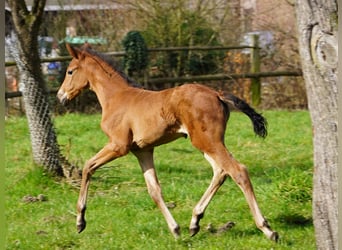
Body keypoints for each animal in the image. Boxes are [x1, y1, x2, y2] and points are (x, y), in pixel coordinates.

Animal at [56, 44, 278, 241]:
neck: (116, 97)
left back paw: (267, 229)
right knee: (221, 171)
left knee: (238, 171)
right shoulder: (143, 150)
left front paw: (80, 221)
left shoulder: (118, 146)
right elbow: (154, 190)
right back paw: (194, 222)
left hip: (207, 141)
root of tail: (217, 94)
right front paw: (175, 229)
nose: (60, 96)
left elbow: (88, 167)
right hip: (205, 143)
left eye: (70, 71)